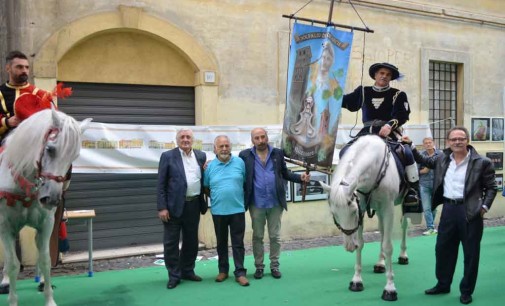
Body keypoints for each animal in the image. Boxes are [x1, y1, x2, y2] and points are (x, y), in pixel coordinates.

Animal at [0, 109, 89, 304]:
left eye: (74, 157)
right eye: (50, 149)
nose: (52, 199)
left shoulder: (46, 223)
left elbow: (46, 260)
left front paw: (49, 300)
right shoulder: (5, 225)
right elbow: (13, 264)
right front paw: (12, 300)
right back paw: (5, 282)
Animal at [320, 134, 412, 302]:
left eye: (353, 212)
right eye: (334, 214)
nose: (349, 246)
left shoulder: (388, 208)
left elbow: (388, 246)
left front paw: (390, 288)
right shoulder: (363, 205)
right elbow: (361, 243)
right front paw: (357, 280)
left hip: (400, 205)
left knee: (404, 225)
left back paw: (403, 255)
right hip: (379, 210)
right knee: (382, 231)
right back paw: (380, 263)